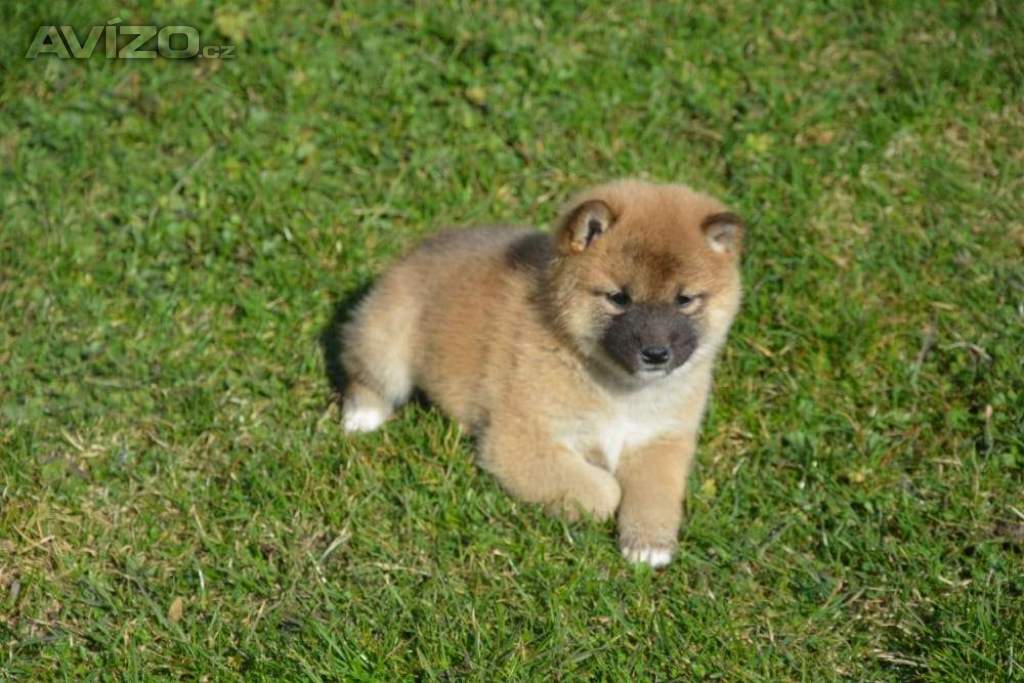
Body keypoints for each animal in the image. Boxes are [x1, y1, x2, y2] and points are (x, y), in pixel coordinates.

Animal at [339, 179, 743, 567]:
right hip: (387, 341)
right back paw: (362, 417)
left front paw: (649, 545)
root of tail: (419, 249)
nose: (656, 354)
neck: (618, 389)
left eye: (684, 300)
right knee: (365, 374)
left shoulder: (662, 440)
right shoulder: (518, 442)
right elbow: (604, 492)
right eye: (618, 298)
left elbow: (656, 495)